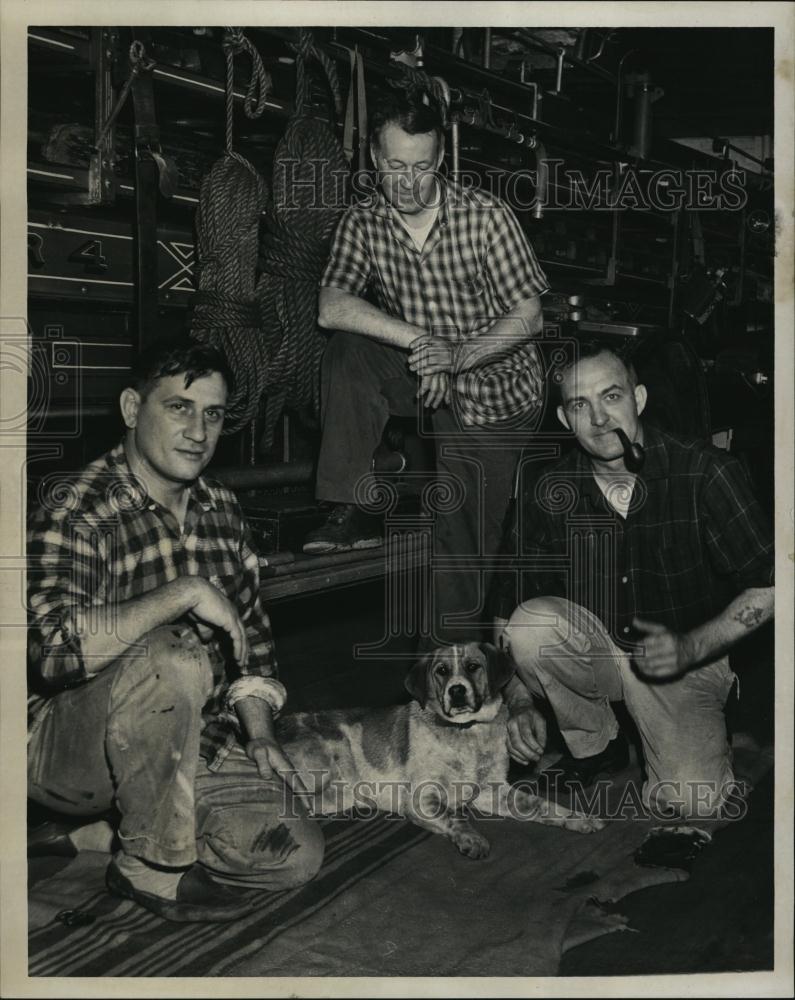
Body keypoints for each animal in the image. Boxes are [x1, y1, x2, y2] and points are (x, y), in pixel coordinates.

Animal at [276, 644, 608, 864]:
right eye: (442, 671)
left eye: (473, 666)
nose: (456, 691)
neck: (466, 733)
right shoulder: (422, 798)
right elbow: (454, 816)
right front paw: (472, 839)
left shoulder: (492, 791)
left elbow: (541, 806)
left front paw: (578, 819)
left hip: (335, 795)